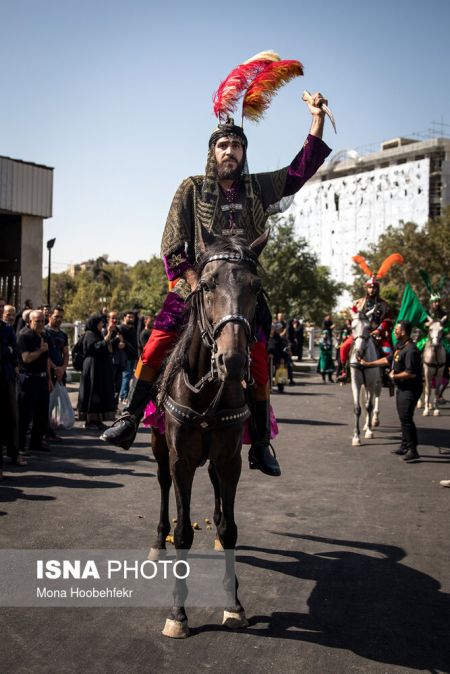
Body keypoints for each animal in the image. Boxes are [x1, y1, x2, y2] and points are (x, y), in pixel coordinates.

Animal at [149, 231, 268, 636]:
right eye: (207, 285)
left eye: (256, 287)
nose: (232, 360)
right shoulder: (181, 460)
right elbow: (184, 530)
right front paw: (177, 613)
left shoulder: (229, 458)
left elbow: (230, 527)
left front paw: (234, 605)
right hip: (159, 449)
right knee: (163, 485)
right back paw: (158, 538)